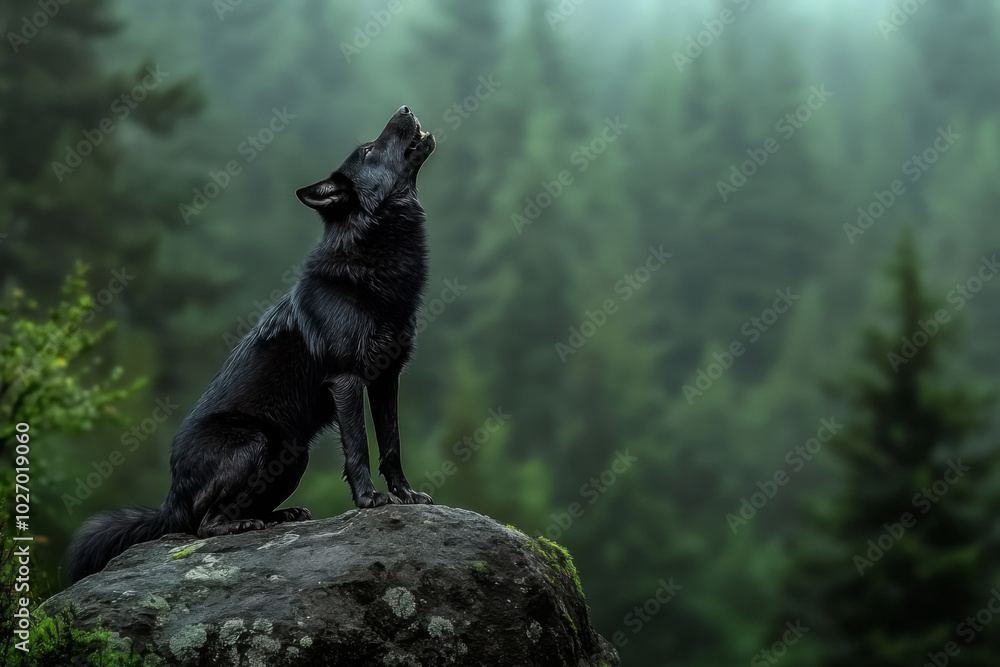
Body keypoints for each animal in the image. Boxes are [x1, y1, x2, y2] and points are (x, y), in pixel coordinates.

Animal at [66, 106, 436, 583]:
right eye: (370, 150)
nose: (405, 109)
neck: (373, 270)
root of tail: (171, 501)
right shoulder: (347, 381)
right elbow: (360, 447)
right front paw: (370, 500)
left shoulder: (387, 379)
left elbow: (392, 445)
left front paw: (406, 494)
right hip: (256, 443)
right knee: (202, 525)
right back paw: (242, 525)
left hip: (292, 456)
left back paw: (277, 517)